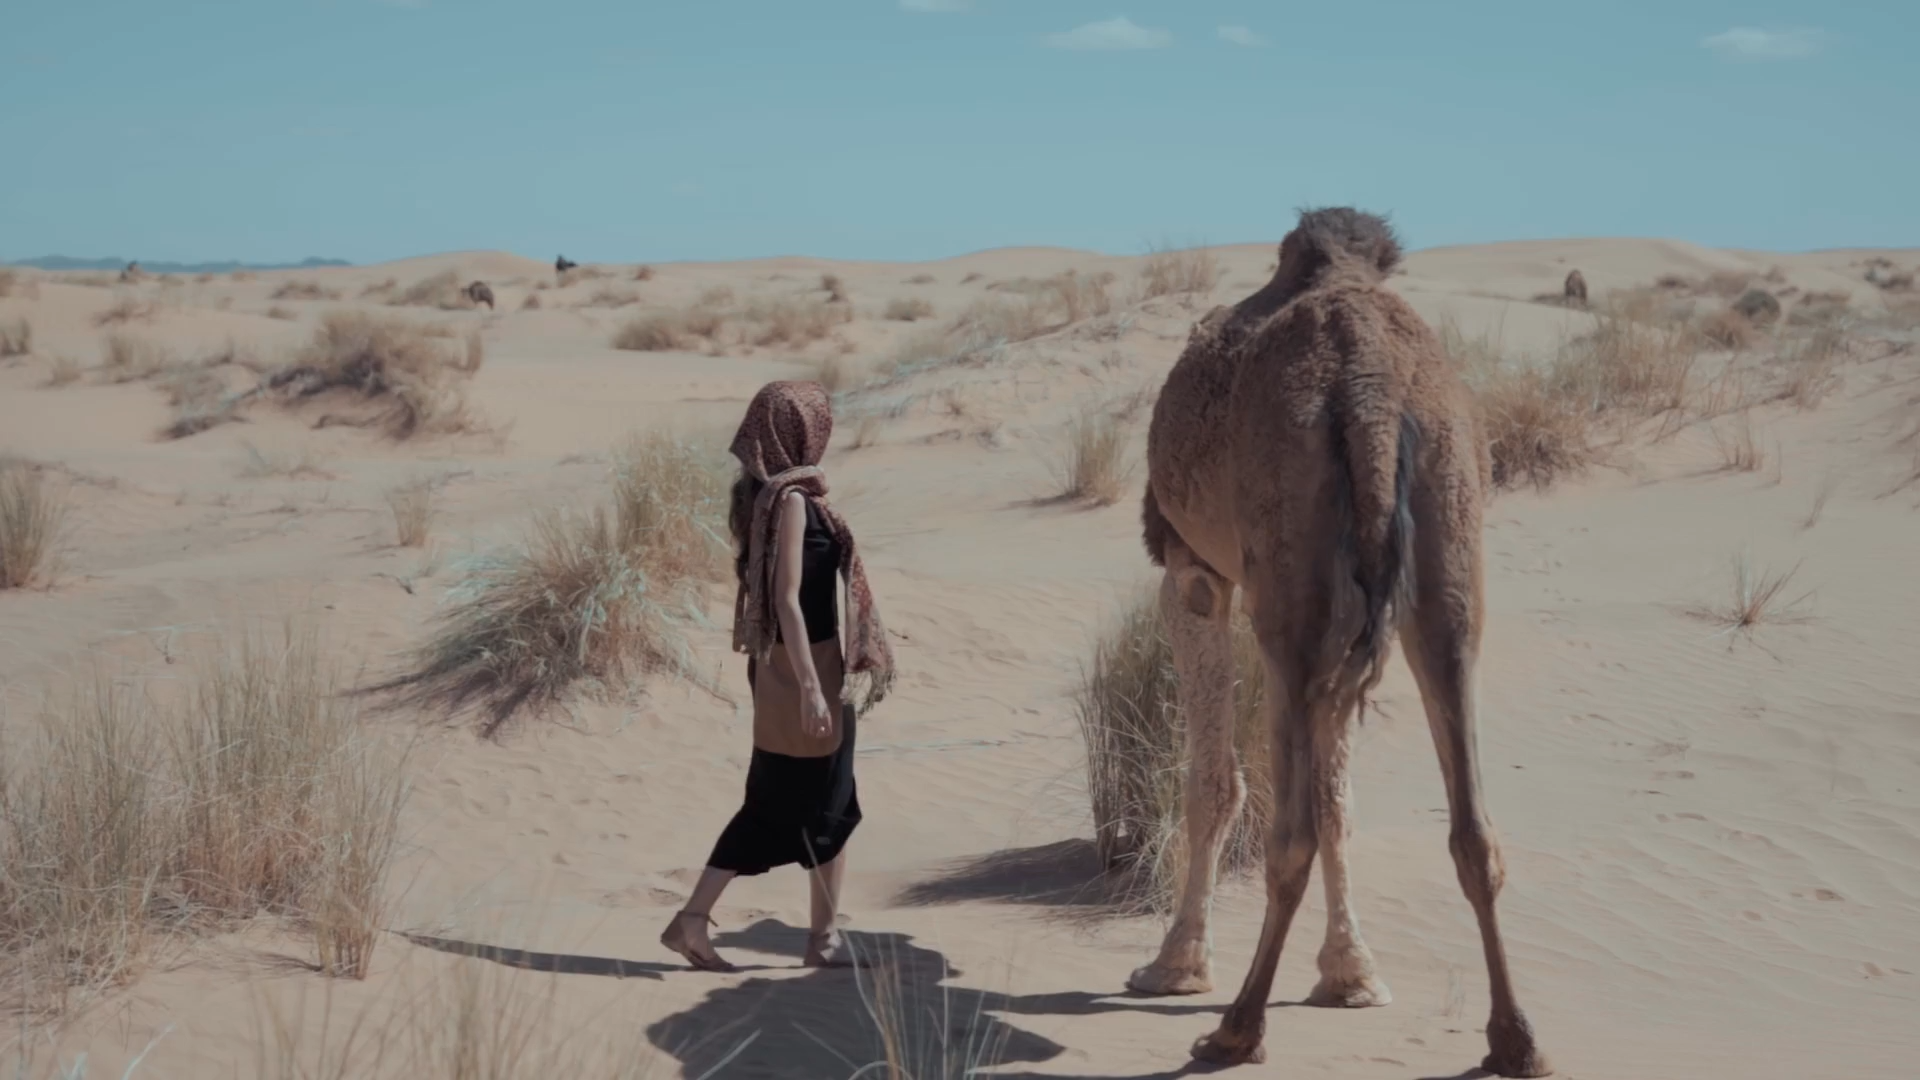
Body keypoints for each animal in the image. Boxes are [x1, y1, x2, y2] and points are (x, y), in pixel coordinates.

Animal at [1130, 207, 1551, 1076]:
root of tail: (1369, 394)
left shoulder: (1192, 575)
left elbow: (1217, 783)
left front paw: (1176, 963)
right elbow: (1338, 796)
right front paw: (1351, 974)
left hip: (1288, 585)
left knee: (1288, 827)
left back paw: (1237, 1027)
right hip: (1447, 555)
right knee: (1473, 825)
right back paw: (1515, 1039)